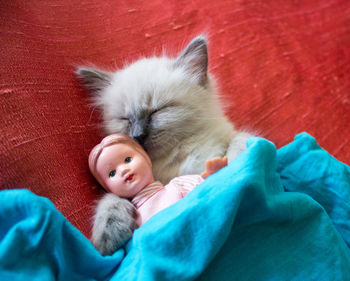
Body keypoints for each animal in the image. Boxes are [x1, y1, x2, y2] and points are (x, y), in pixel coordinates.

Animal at [76, 35, 252, 254]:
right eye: (125, 119)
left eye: (157, 111)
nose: (137, 136)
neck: (173, 161)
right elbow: (112, 198)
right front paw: (109, 233)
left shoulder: (226, 140)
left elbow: (240, 140)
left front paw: (239, 162)